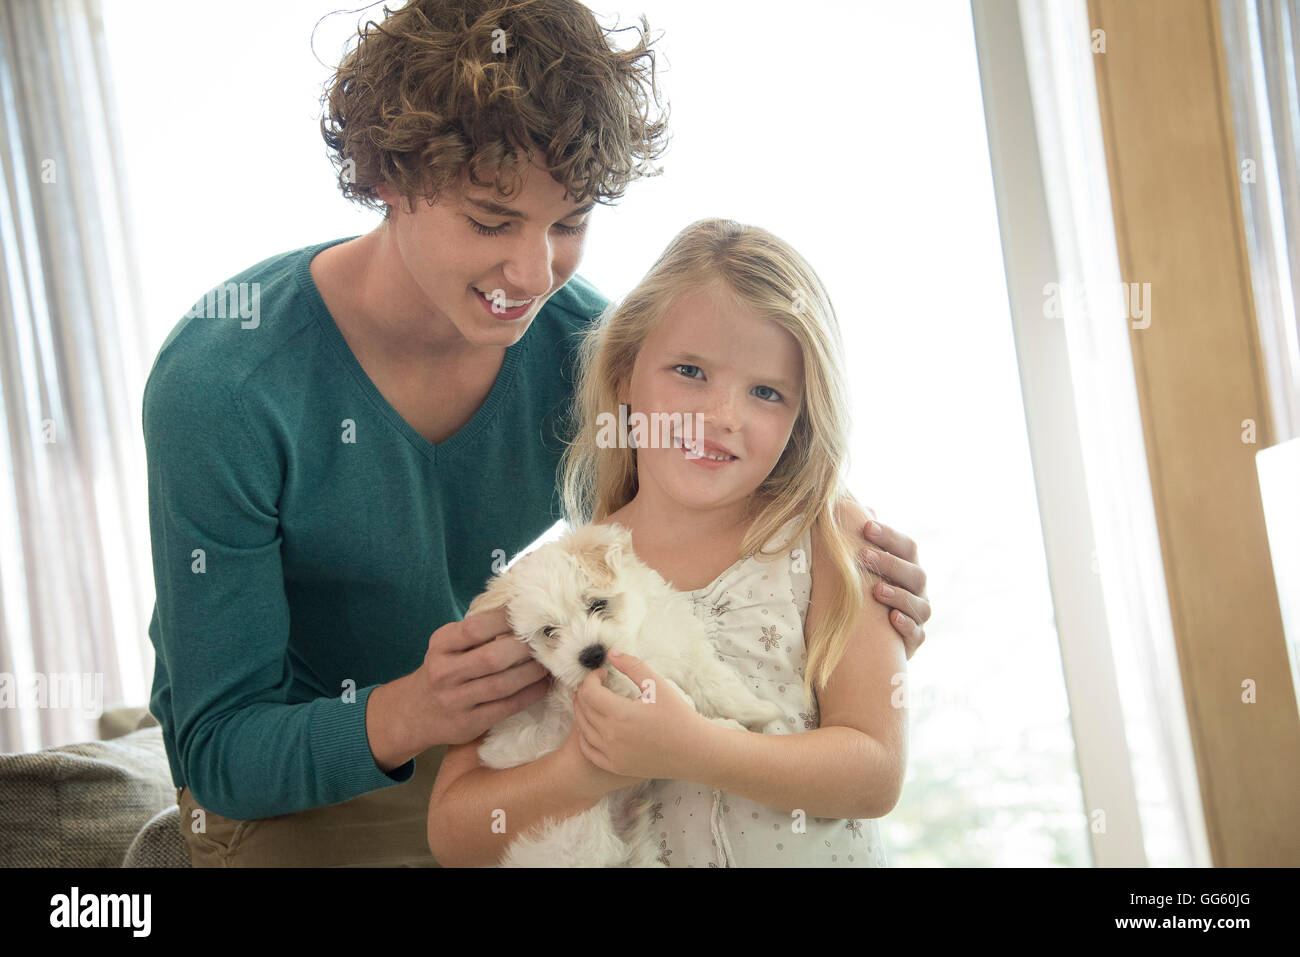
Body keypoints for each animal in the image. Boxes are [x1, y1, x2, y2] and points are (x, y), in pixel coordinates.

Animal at [465, 521, 785, 867]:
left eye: (597, 604)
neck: (637, 639)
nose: (591, 655)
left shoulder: (683, 646)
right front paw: (712, 721)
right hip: (577, 837)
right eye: (549, 632)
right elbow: (670, 696)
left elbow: (715, 683)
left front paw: (760, 711)